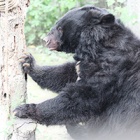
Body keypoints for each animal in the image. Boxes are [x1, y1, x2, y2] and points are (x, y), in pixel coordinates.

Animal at [14, 5, 140, 140]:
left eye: (60, 28)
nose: (45, 40)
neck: (97, 45)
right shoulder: (87, 64)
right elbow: (67, 74)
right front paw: (28, 63)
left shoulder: (112, 68)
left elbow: (81, 98)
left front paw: (24, 109)